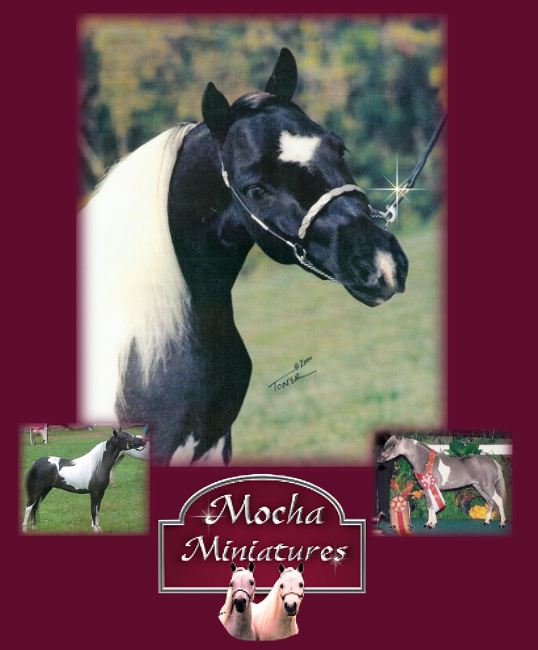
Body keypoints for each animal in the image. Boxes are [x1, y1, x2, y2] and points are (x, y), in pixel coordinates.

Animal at [377, 435, 507, 528]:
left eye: (393, 445)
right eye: (386, 444)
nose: (379, 459)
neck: (424, 460)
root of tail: (493, 461)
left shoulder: (430, 486)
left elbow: (432, 506)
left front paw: (432, 524)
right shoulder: (426, 488)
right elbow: (430, 506)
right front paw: (429, 523)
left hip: (488, 487)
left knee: (499, 500)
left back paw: (502, 523)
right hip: (479, 487)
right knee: (490, 502)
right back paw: (486, 522)